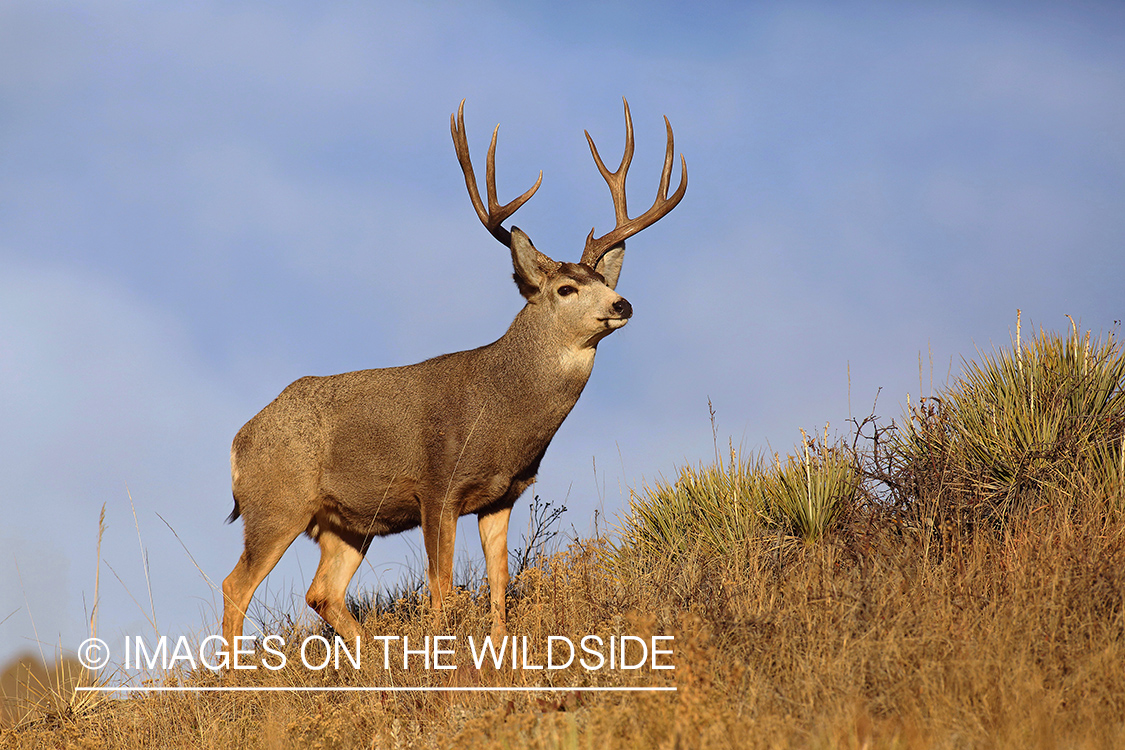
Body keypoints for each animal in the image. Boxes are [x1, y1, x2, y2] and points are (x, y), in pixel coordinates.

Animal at [219, 99, 684, 652]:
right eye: (566, 289)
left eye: (602, 279)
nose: (622, 303)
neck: (500, 410)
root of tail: (239, 441)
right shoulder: (437, 485)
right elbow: (440, 583)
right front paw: (444, 648)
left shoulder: (502, 495)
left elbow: (498, 578)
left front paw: (498, 645)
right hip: (277, 503)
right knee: (236, 585)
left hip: (348, 522)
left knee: (322, 592)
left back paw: (373, 657)